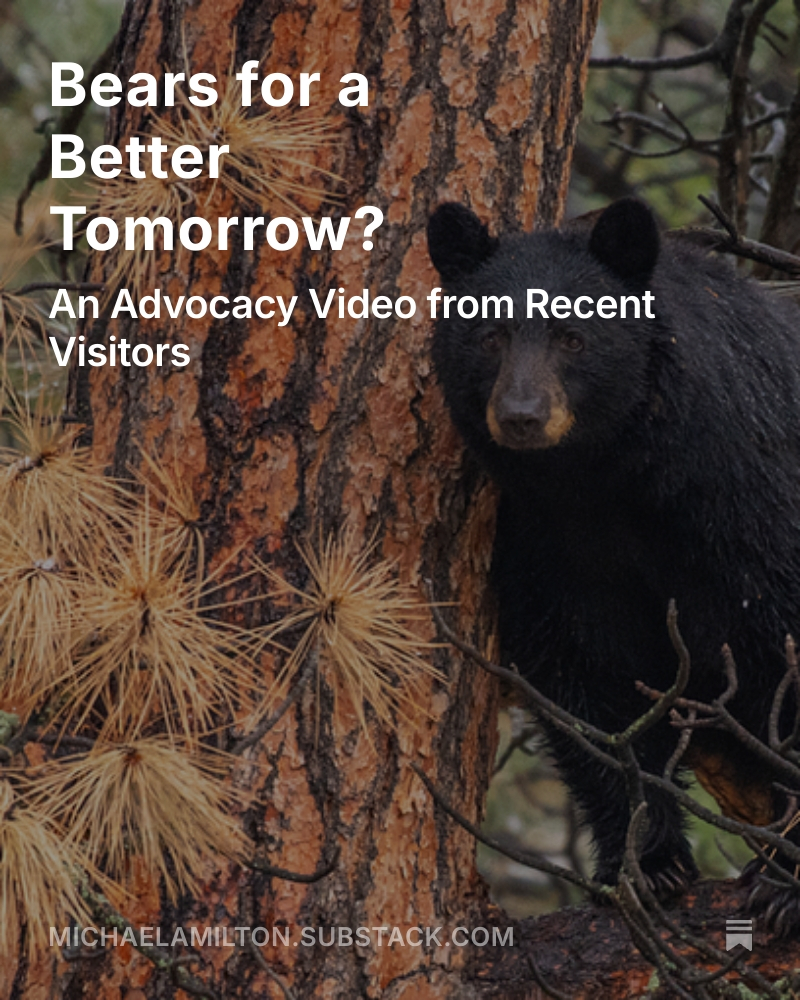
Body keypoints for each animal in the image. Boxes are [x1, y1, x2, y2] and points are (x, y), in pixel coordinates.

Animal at [427, 197, 800, 935]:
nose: (521, 416)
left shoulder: (751, 499)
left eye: (572, 336)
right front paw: (647, 865)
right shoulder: (549, 535)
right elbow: (585, 672)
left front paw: (785, 883)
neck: (616, 474)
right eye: (490, 335)